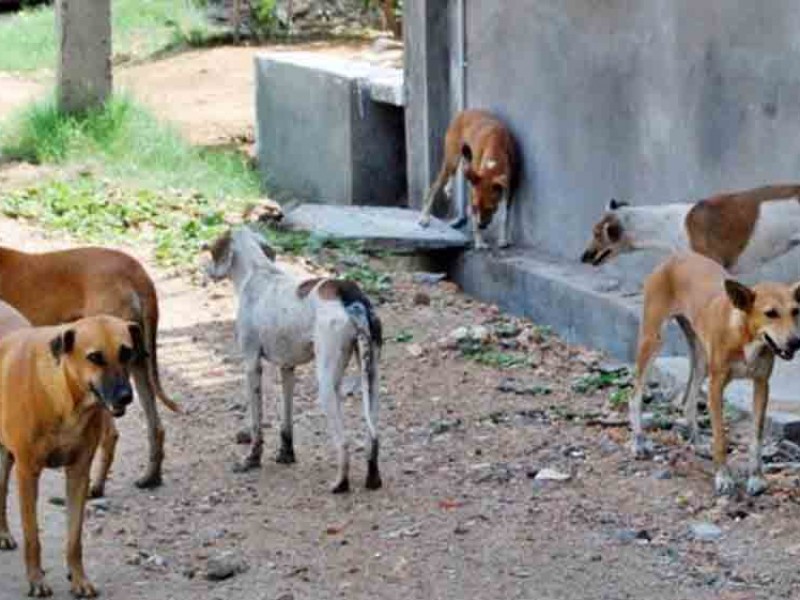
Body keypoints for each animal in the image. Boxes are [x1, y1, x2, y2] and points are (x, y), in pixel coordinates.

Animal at [0, 246, 178, 490]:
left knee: (111, 434)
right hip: (137, 364)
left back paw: (97, 486)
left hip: (107, 383)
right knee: (156, 427)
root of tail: (135, 270)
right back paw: (151, 476)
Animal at [0, 316, 144, 596]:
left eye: (126, 352)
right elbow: (32, 537)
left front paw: (79, 578)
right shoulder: (27, 473)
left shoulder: (79, 473)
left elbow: (75, 538)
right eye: (95, 357)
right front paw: (36, 580)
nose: (126, 396)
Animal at [205, 225, 382, 492]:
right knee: (374, 435)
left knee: (344, 442)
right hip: (370, 379)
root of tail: (349, 295)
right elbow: (286, 421)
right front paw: (286, 455)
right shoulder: (287, 368)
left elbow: (256, 423)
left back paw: (340, 483)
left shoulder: (251, 365)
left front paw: (252, 459)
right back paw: (373, 478)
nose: (204, 269)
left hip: (327, 386)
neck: (257, 272)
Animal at [418, 109, 520, 250]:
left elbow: (504, 216)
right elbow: (474, 216)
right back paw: (424, 217)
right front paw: (479, 242)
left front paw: (503, 239)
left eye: (491, 208)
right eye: (475, 206)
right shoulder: (474, 189)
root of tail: (463, 112)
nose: (482, 226)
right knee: (435, 186)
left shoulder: (509, 188)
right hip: (451, 160)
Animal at [632, 251, 800, 494]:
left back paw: (698, 443)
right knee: (634, 395)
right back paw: (638, 442)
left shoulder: (761, 384)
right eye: (771, 313)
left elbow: (756, 437)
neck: (745, 337)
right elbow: (720, 436)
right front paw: (723, 477)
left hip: (701, 360)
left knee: (689, 401)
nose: (796, 342)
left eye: (796, 311)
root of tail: (675, 256)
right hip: (652, 341)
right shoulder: (716, 385)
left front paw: (755, 477)